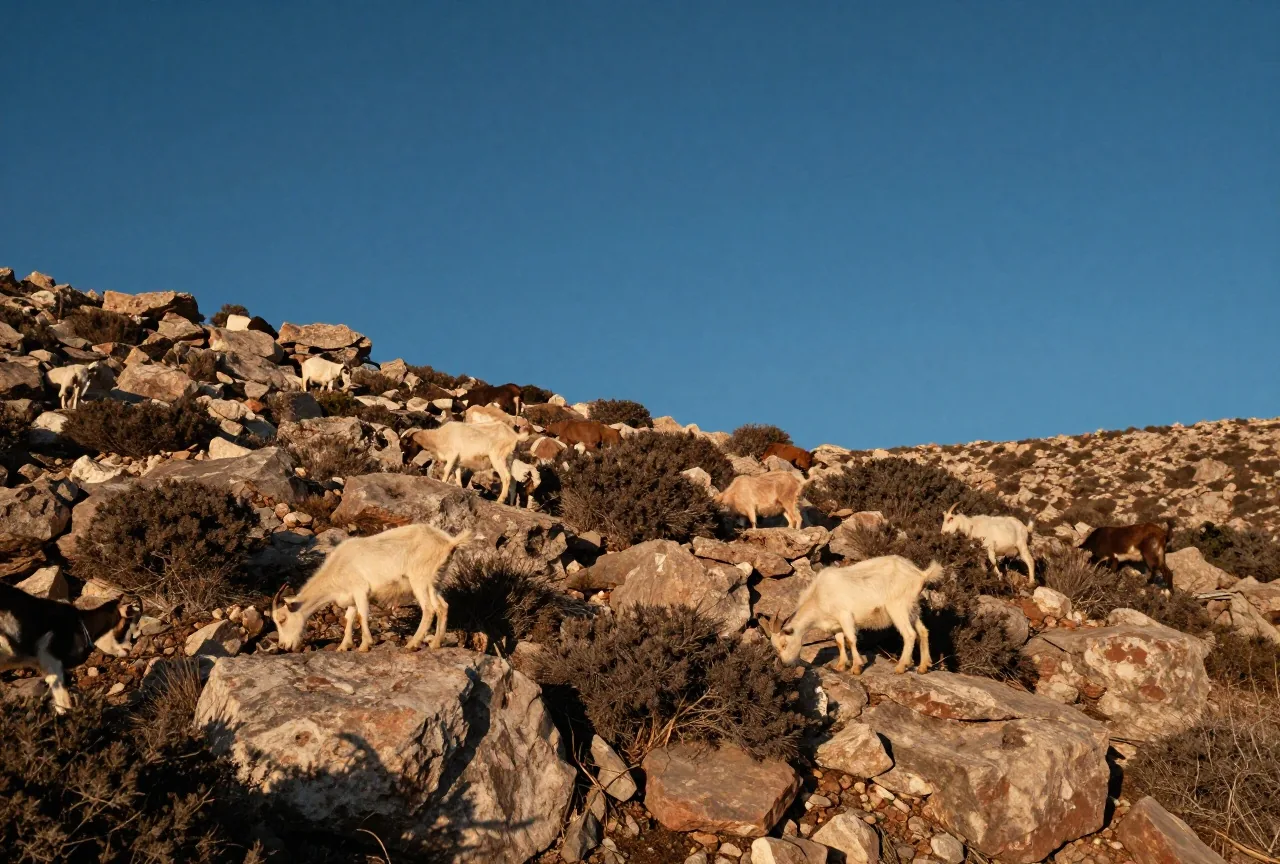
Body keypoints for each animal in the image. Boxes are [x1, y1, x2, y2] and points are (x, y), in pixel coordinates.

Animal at [273, 524, 472, 652]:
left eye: (282, 619)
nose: (283, 646)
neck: (337, 569)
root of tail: (448, 542)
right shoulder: (351, 597)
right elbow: (349, 618)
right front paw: (343, 646)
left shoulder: (360, 590)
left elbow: (362, 615)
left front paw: (364, 645)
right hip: (434, 581)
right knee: (442, 606)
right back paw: (436, 643)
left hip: (419, 579)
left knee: (429, 609)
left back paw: (412, 644)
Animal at [761, 555, 944, 675]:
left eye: (784, 643)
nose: (785, 664)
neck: (818, 596)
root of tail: (920, 574)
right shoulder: (835, 624)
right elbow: (840, 642)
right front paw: (841, 666)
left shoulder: (845, 615)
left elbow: (850, 639)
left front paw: (856, 667)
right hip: (912, 609)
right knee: (923, 631)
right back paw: (923, 667)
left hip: (897, 607)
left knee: (909, 634)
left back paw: (900, 667)